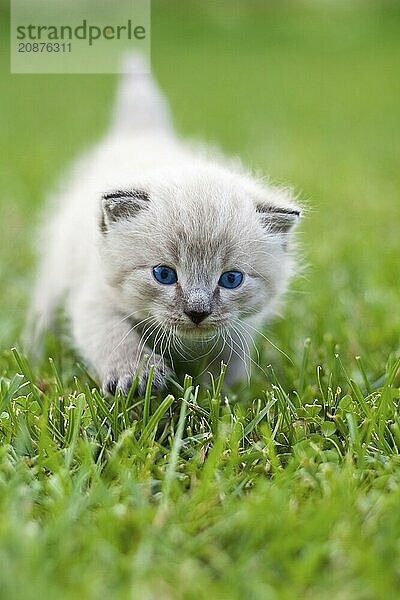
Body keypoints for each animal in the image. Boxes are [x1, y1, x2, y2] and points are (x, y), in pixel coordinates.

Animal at [28, 55, 300, 394]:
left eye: (231, 279)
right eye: (164, 274)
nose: (197, 312)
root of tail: (142, 134)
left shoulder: (240, 327)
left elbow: (228, 361)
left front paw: (221, 395)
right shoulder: (95, 297)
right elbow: (113, 338)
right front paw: (136, 375)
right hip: (58, 268)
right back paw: (34, 349)